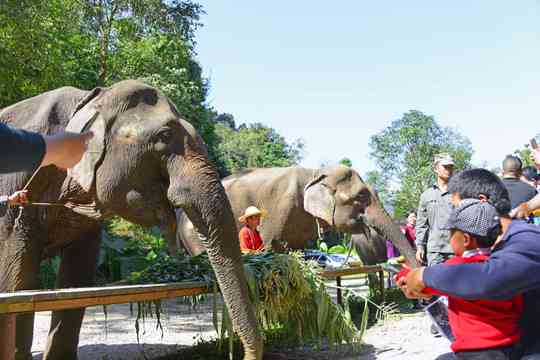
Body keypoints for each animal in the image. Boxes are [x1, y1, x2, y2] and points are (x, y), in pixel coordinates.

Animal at [0, 81, 262, 360]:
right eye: (164, 136)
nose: (241, 353)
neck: (91, 99)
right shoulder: (17, 195)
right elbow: (17, 278)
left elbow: (78, 273)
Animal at [175, 166, 416, 264]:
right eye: (361, 196)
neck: (315, 173)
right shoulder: (279, 208)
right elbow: (270, 246)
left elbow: (295, 248)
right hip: (195, 235)